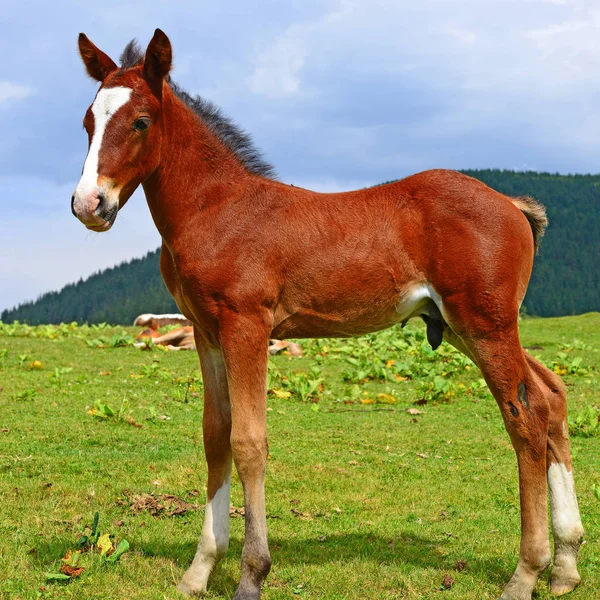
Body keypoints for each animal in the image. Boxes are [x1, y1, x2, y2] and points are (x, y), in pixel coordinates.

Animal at [71, 31, 584, 600]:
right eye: (88, 121)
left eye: (140, 121)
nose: (89, 204)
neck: (217, 209)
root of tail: (513, 205)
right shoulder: (206, 331)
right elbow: (215, 435)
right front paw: (199, 570)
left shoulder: (247, 325)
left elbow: (248, 441)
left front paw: (251, 574)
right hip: (462, 327)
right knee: (552, 395)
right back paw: (565, 564)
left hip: (485, 324)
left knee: (525, 417)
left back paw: (527, 571)